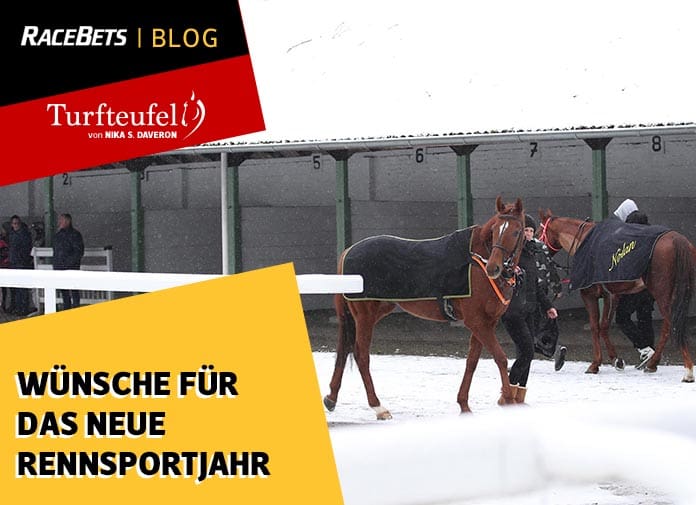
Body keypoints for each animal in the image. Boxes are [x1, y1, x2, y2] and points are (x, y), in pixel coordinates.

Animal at [323, 196, 526, 420]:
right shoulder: (477, 322)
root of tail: (348, 251)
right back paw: (378, 406)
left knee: (344, 349)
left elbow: (472, 361)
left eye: (516, 231)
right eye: (496, 229)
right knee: (361, 354)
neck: (477, 261)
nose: (493, 268)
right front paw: (508, 399)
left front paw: (464, 403)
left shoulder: (486, 323)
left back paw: (331, 398)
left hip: (372, 311)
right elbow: (501, 358)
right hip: (364, 315)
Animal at [537, 208, 696, 382]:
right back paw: (653, 363)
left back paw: (685, 370)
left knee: (670, 325)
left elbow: (595, 326)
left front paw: (595, 364)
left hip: (662, 293)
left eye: (538, 231)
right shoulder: (611, 296)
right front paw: (616, 360)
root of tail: (676, 239)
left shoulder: (589, 295)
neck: (584, 240)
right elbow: (604, 326)